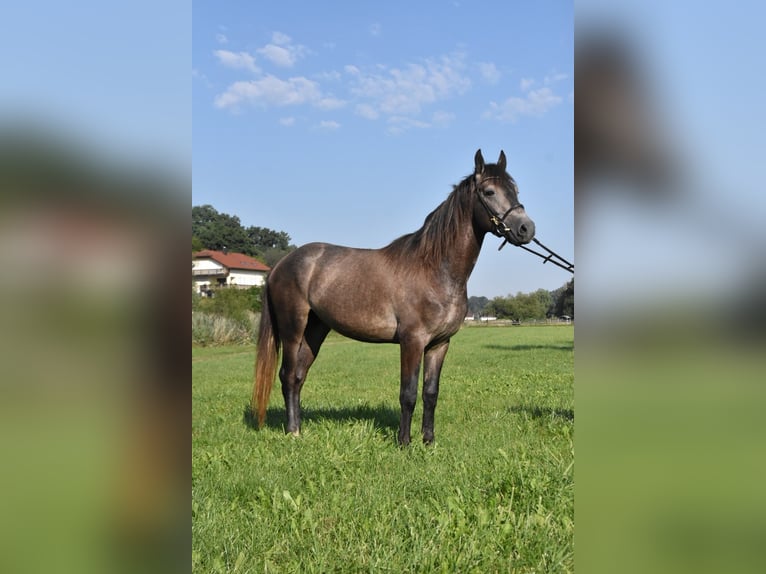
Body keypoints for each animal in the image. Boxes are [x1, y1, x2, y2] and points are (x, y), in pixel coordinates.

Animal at [251, 149, 535, 445]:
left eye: (515, 190)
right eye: (489, 192)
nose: (526, 228)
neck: (434, 269)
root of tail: (280, 265)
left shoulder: (439, 344)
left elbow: (430, 393)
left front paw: (428, 441)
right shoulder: (412, 341)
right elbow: (408, 394)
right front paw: (404, 442)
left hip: (315, 330)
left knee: (298, 376)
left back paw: (299, 429)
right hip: (292, 330)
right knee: (287, 376)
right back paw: (292, 431)